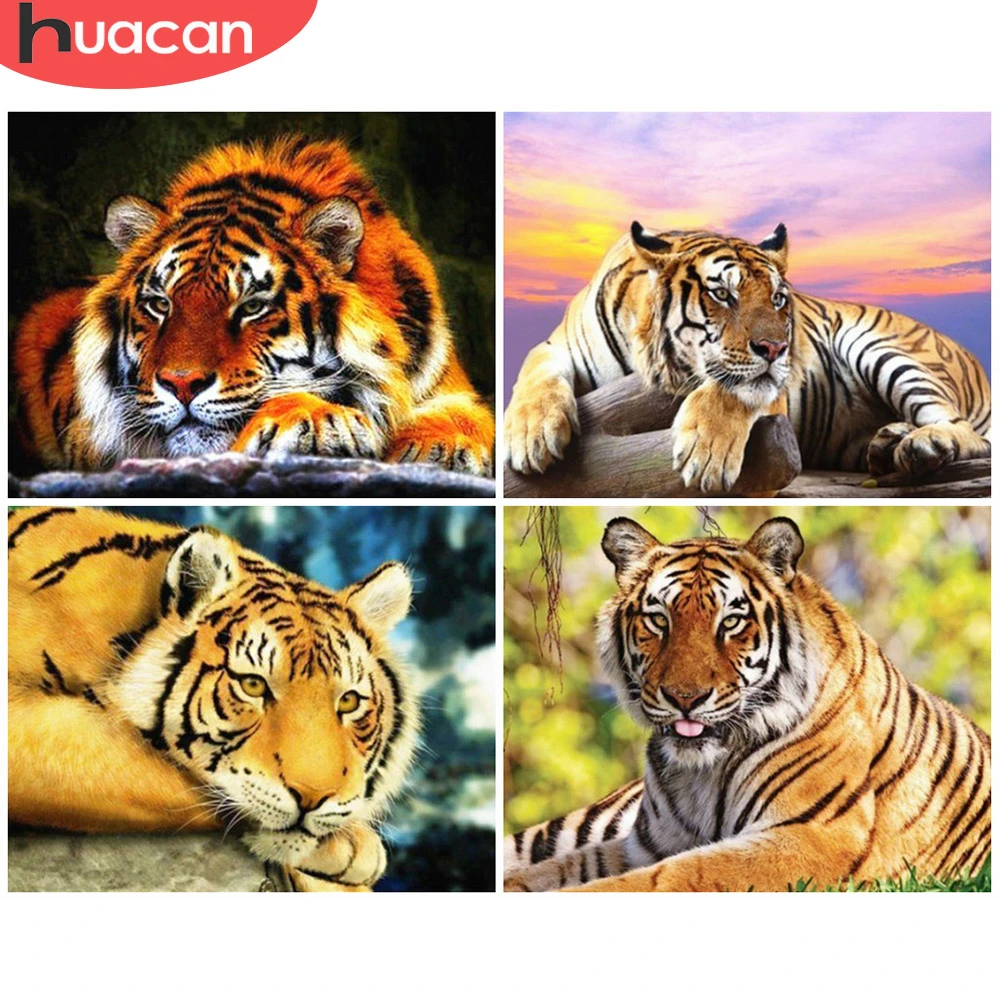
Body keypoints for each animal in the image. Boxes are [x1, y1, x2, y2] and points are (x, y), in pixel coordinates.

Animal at [13, 136, 494, 476]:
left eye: (252, 306)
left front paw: (442, 446)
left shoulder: (448, 386)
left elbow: (467, 417)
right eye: (160, 304)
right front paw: (318, 419)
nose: (181, 384)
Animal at [504, 223, 990, 492]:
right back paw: (888, 444)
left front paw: (706, 453)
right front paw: (531, 435)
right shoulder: (557, 346)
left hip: (878, 346)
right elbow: (534, 370)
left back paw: (924, 444)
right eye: (723, 294)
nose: (776, 349)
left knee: (968, 433)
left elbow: (733, 389)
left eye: (777, 299)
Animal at [504, 515, 991, 891]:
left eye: (731, 622)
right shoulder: (644, 843)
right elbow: (553, 870)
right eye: (659, 620)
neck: (701, 773)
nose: (684, 698)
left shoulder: (812, 836)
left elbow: (669, 877)